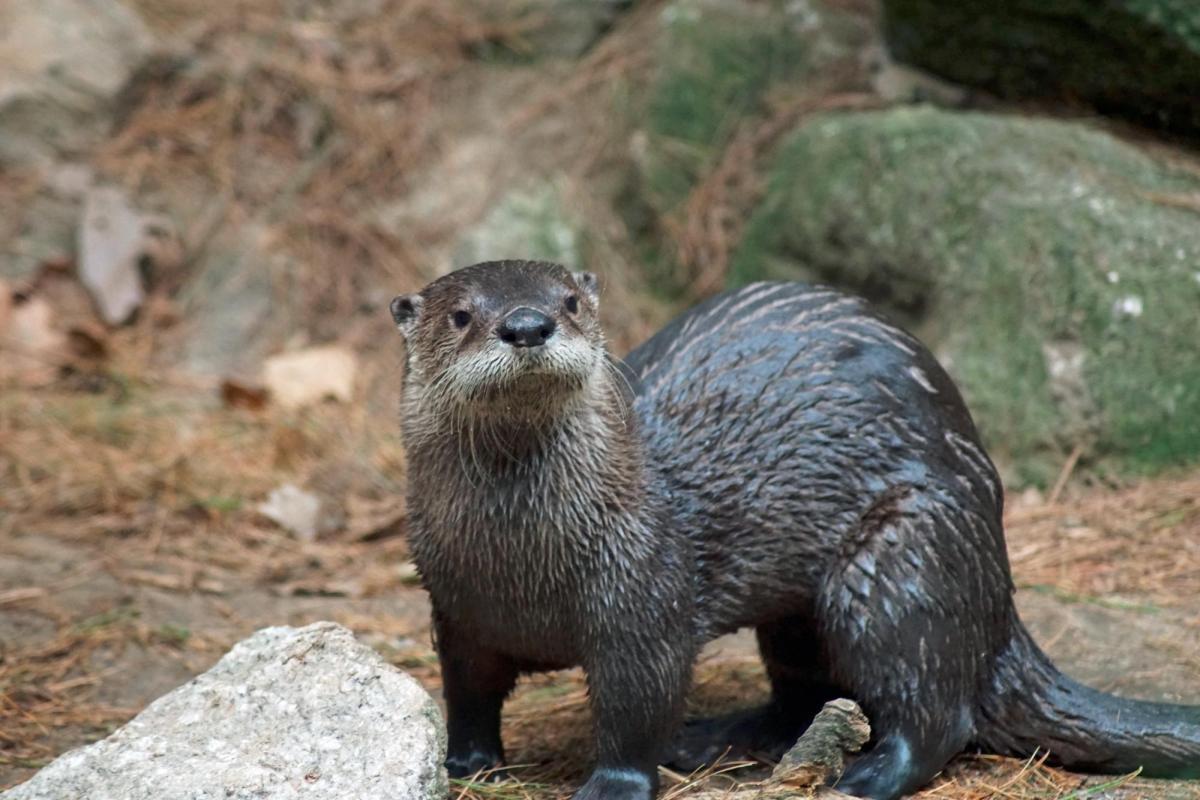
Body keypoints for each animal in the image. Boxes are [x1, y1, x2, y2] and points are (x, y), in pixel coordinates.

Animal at [391, 257, 1200, 800]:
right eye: (461, 314)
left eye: (568, 301)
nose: (527, 325)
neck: (518, 565)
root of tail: (999, 600)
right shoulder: (456, 607)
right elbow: (466, 689)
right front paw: (465, 763)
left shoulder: (641, 600)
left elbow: (636, 703)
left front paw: (612, 783)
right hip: (801, 612)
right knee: (804, 692)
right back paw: (721, 736)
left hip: (901, 558)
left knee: (934, 707)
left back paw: (864, 776)